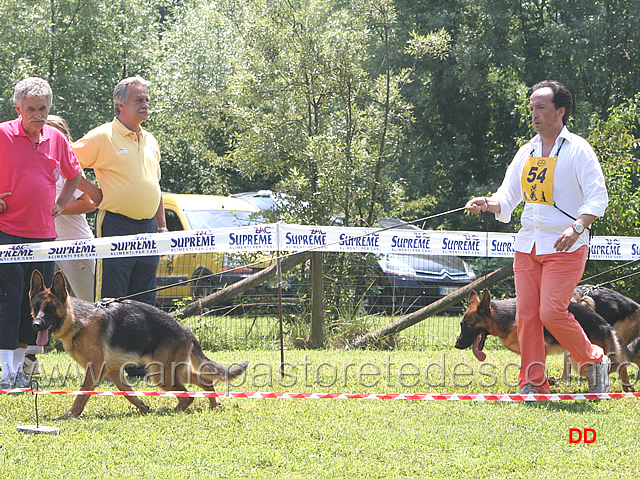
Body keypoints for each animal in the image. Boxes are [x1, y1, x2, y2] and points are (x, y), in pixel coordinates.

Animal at [30, 272, 250, 418]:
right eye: (36, 307)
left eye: (50, 309)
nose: (36, 325)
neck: (78, 320)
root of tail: (185, 330)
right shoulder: (112, 371)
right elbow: (129, 394)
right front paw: (143, 408)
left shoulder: (95, 370)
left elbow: (81, 396)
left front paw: (69, 415)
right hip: (169, 371)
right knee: (204, 381)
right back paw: (213, 404)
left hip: (161, 375)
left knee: (188, 396)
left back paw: (172, 411)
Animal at [456, 290, 640, 392]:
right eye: (461, 325)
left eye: (468, 325)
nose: (456, 345)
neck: (504, 318)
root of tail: (605, 324)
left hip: (582, 360)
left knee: (619, 364)